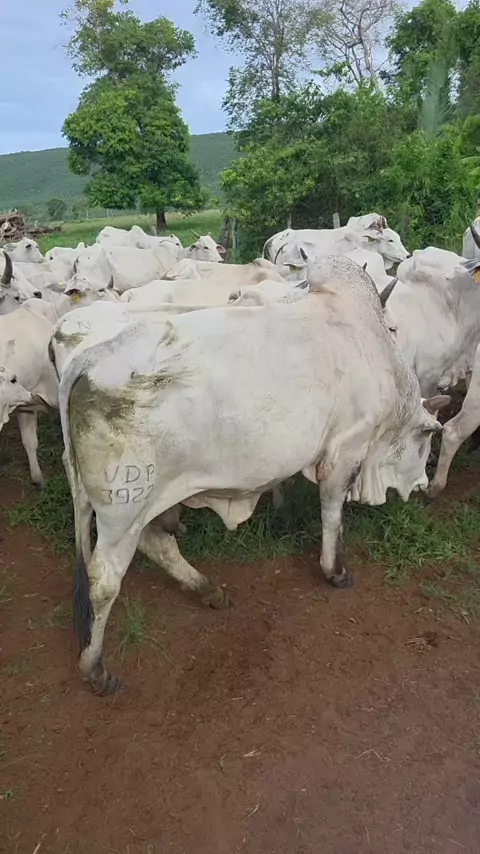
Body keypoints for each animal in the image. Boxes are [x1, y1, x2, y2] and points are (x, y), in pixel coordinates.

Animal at [54, 255, 446, 694]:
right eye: (426, 442)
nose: (422, 484)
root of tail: (90, 358)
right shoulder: (346, 451)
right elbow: (333, 516)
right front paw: (336, 571)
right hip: (124, 506)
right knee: (103, 581)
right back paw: (95, 667)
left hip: (142, 501)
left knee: (157, 543)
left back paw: (207, 590)